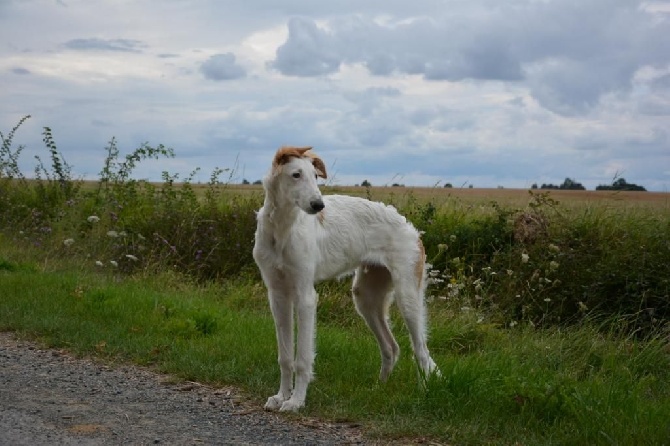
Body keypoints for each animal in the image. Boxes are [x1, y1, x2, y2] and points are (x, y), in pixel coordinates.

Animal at [253, 146, 440, 412]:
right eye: (296, 174)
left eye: (316, 176)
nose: (318, 205)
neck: (282, 228)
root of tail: (412, 229)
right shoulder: (277, 295)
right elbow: (286, 356)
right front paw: (280, 396)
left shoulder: (305, 296)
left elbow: (302, 359)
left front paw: (296, 401)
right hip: (366, 299)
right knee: (391, 348)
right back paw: (378, 389)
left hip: (408, 298)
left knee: (421, 350)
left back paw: (424, 394)